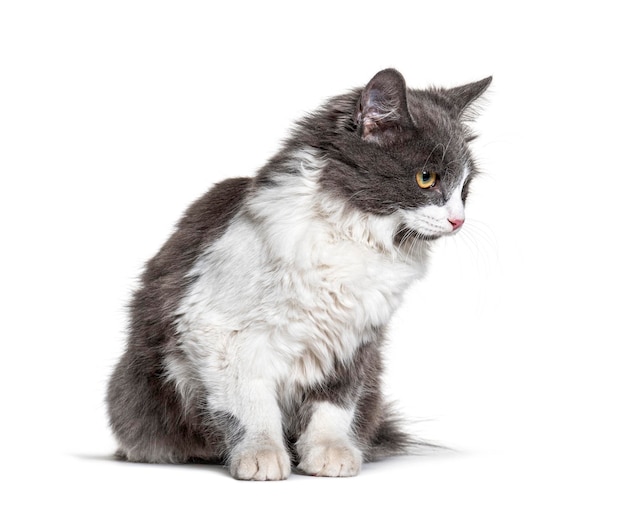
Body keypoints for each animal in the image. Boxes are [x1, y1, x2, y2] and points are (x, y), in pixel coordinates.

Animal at [106, 68, 488, 480]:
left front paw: (330, 453)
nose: (458, 220)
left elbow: (334, 406)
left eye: (465, 189)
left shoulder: (353, 342)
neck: (355, 238)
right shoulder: (215, 329)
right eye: (426, 178)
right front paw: (261, 455)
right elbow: (250, 405)